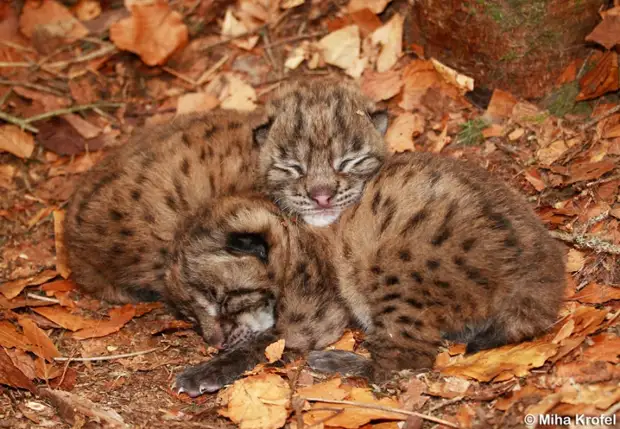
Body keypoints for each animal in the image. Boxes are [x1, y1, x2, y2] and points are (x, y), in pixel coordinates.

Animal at [167, 150, 564, 394]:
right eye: (191, 316)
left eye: (223, 301)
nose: (212, 343)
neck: (292, 235)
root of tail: (543, 271)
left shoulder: (311, 319)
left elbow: (259, 343)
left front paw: (205, 372)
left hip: (388, 265)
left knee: (405, 362)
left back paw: (336, 361)